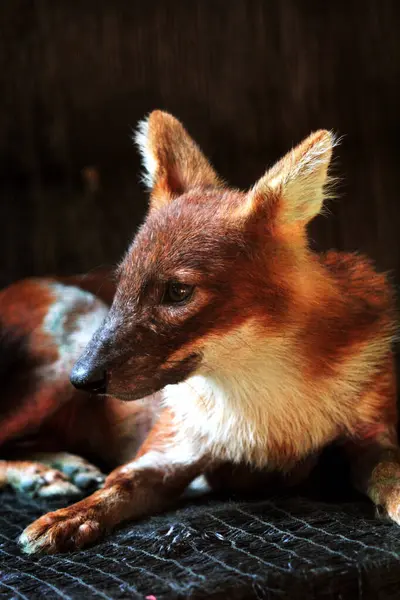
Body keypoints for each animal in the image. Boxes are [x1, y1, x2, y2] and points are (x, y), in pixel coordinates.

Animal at [1, 111, 398, 552]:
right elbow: (118, 484)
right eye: (122, 284)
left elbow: (389, 472)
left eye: (178, 291)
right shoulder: (170, 451)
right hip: (59, 359)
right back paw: (39, 475)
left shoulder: (371, 435)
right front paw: (65, 518)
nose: (83, 380)